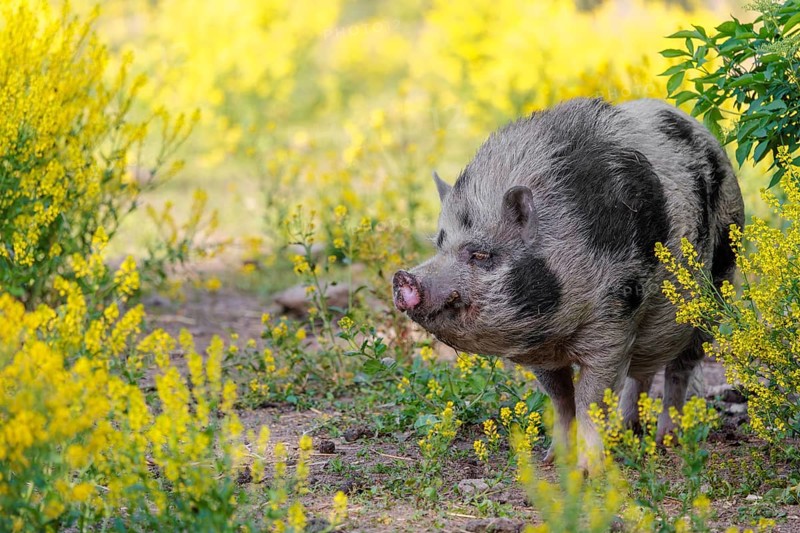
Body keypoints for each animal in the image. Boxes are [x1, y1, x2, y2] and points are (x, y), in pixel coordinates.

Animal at [392, 98, 744, 465]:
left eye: (480, 254)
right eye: (439, 244)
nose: (404, 277)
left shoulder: (614, 324)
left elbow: (589, 399)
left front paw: (588, 469)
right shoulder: (540, 352)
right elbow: (560, 398)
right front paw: (552, 460)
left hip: (717, 288)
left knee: (679, 369)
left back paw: (667, 441)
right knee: (642, 372)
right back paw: (626, 432)